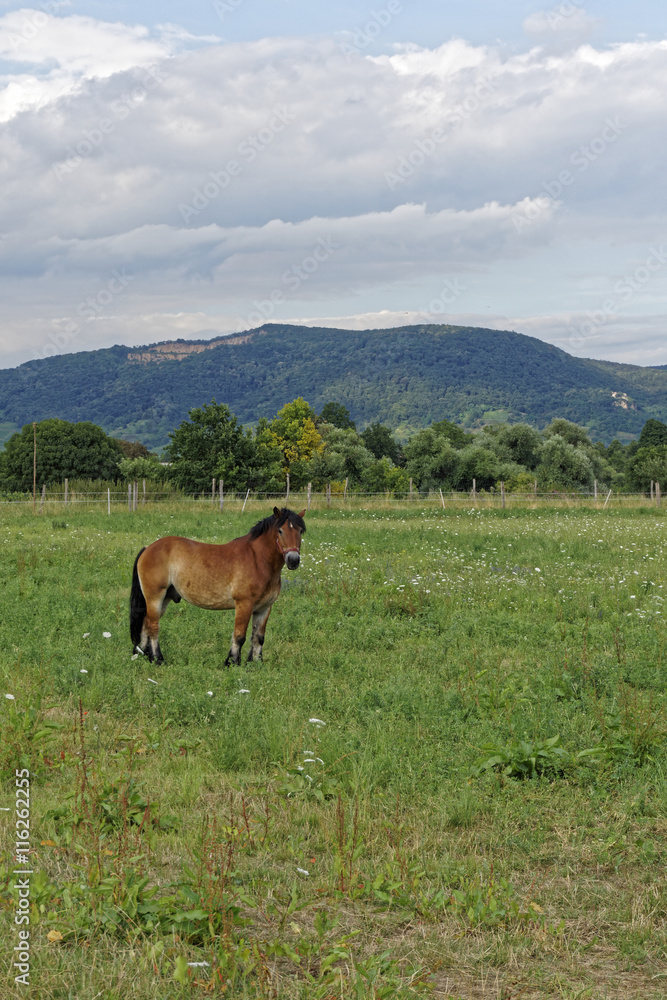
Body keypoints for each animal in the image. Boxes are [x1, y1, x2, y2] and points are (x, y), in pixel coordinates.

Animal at [129, 508, 306, 664]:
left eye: (300, 531)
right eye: (280, 531)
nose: (293, 560)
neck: (258, 560)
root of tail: (148, 548)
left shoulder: (264, 608)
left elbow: (258, 637)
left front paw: (255, 663)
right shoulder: (244, 605)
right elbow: (239, 636)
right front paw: (232, 663)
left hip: (164, 599)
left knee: (146, 624)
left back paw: (142, 655)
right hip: (155, 597)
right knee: (153, 627)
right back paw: (157, 659)